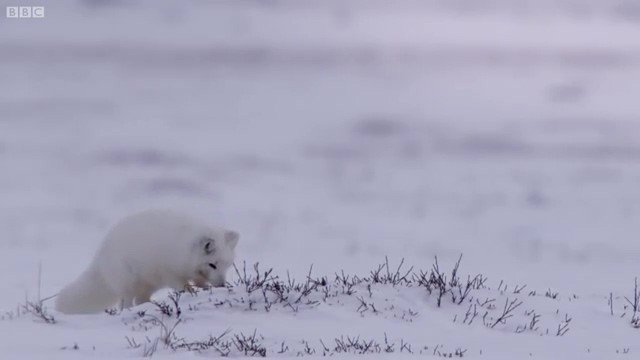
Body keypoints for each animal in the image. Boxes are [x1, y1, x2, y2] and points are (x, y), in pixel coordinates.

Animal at [55, 210, 239, 314]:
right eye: (212, 264)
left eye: (227, 266)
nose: (222, 285)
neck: (183, 246)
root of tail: (100, 256)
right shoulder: (170, 273)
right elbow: (182, 286)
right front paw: (190, 293)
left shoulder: (193, 272)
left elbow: (200, 282)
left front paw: (205, 290)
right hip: (128, 282)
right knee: (126, 302)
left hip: (149, 284)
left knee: (140, 300)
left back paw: (151, 305)